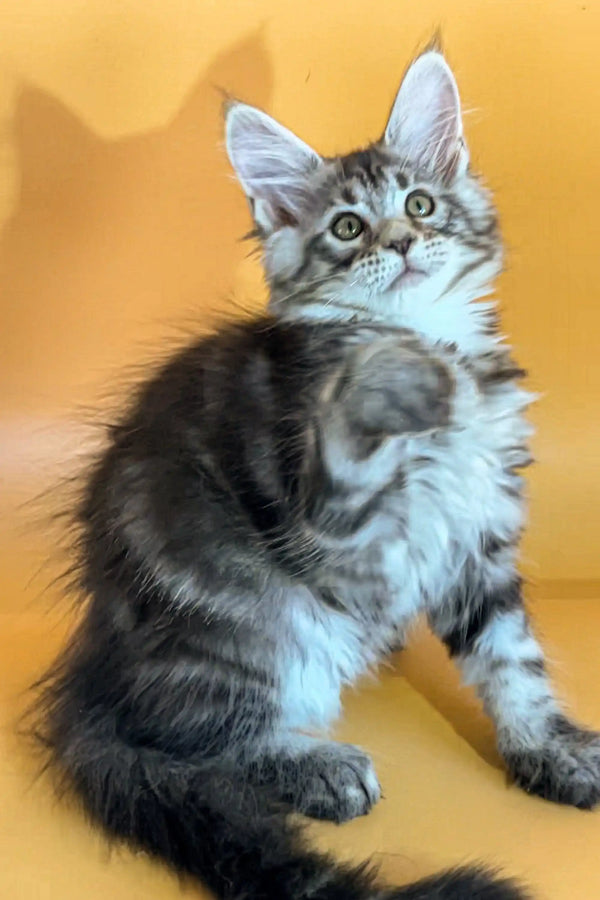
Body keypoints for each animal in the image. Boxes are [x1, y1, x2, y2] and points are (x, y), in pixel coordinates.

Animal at [34, 47, 600, 900]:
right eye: (347, 226)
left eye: (421, 205)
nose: (400, 244)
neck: (422, 342)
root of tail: (97, 669)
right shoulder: (337, 513)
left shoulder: (479, 529)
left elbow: (509, 655)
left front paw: (547, 748)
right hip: (262, 614)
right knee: (184, 738)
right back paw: (313, 764)